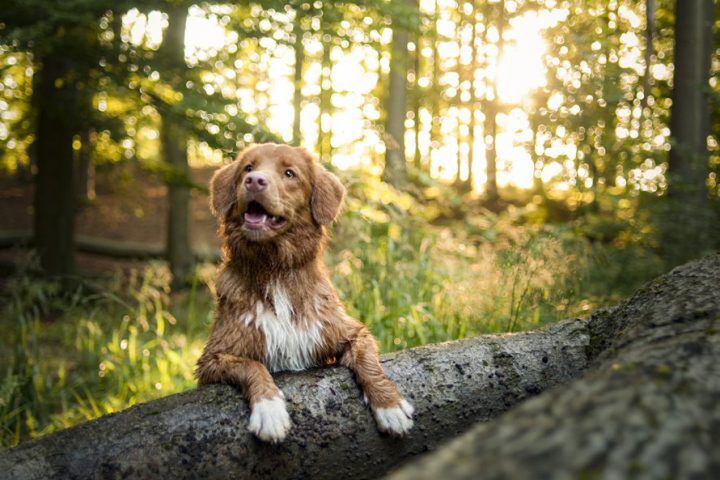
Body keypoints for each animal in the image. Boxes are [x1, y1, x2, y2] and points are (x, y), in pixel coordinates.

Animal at [194, 142, 414, 442]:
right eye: (248, 168)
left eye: (289, 173)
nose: (254, 180)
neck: (275, 267)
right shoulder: (212, 358)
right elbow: (251, 365)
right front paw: (269, 409)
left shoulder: (348, 330)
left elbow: (368, 361)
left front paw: (389, 405)